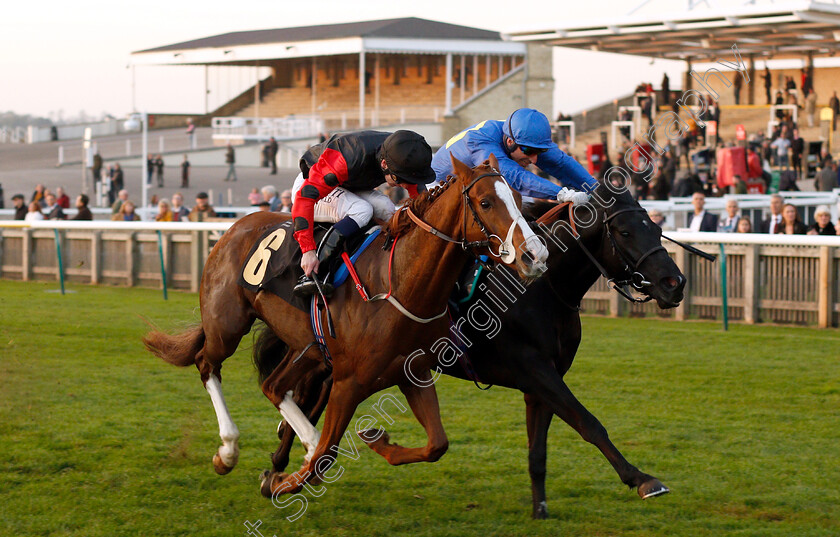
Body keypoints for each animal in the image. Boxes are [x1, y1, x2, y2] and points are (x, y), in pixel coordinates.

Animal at [144, 153, 552, 496]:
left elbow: (437, 444)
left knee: (274, 386)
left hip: (307, 347)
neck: (399, 283)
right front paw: (282, 479)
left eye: (520, 198)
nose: (535, 255)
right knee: (209, 365)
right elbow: (324, 458)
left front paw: (376, 440)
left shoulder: (412, 373)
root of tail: (235, 225)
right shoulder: (348, 382)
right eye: (485, 202)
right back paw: (229, 450)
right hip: (227, 324)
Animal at [258, 179, 688, 516]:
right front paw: (642, 479)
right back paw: (284, 467)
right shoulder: (536, 370)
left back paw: (279, 466)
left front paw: (539, 509)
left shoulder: (542, 381)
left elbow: (538, 450)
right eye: (625, 232)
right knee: (304, 399)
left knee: (305, 401)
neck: (540, 289)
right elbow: (589, 423)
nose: (675, 284)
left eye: (655, 226)